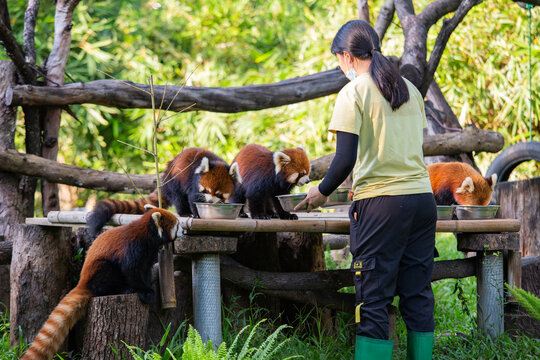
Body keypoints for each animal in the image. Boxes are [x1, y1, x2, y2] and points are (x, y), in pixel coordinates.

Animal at [21, 208, 181, 360]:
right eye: (177, 224)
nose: (182, 231)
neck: (148, 235)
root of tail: (82, 283)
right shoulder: (133, 246)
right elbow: (130, 270)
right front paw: (145, 291)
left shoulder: (148, 256)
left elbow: (145, 271)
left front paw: (147, 288)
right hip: (100, 270)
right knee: (106, 276)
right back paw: (121, 289)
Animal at [88, 148, 240, 235]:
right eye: (207, 191)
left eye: (218, 193)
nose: (209, 201)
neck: (216, 162)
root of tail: (165, 173)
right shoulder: (193, 184)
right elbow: (193, 198)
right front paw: (197, 214)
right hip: (174, 182)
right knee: (179, 198)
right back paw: (184, 212)